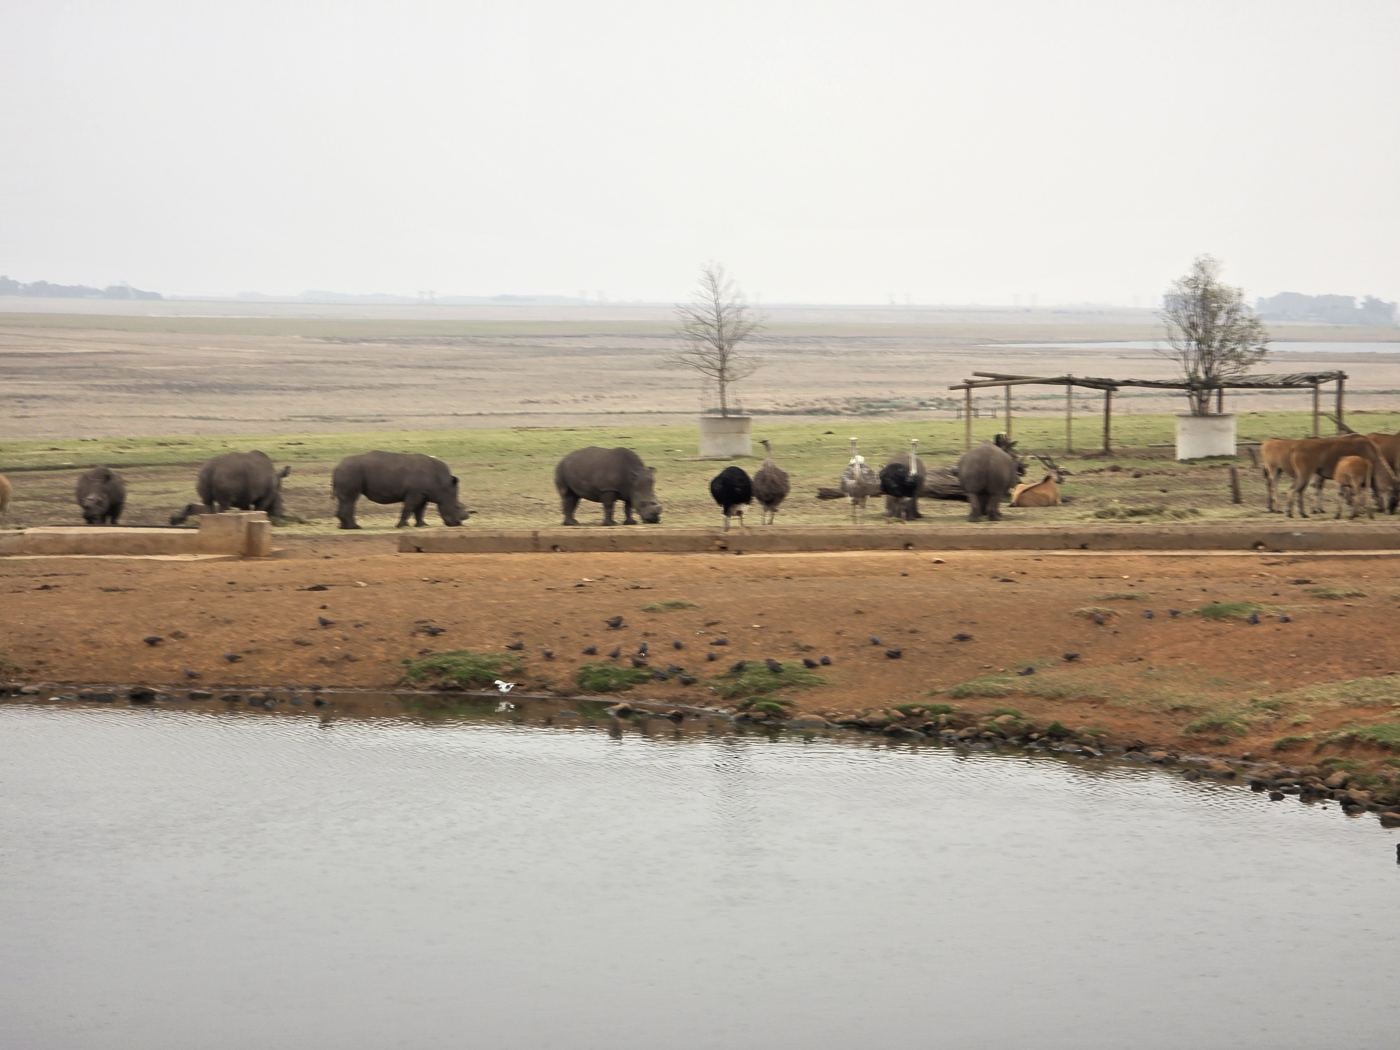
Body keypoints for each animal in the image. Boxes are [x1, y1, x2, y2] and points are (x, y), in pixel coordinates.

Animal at [332, 451, 471, 529]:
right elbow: (409, 508)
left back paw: (344, 527)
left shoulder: (423, 494)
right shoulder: (415, 493)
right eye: (457, 506)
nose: (458, 524)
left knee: (346, 500)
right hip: (350, 471)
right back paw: (354, 528)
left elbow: (420, 510)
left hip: (348, 471)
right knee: (351, 499)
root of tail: (337, 466)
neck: (443, 485)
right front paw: (401, 526)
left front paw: (421, 525)